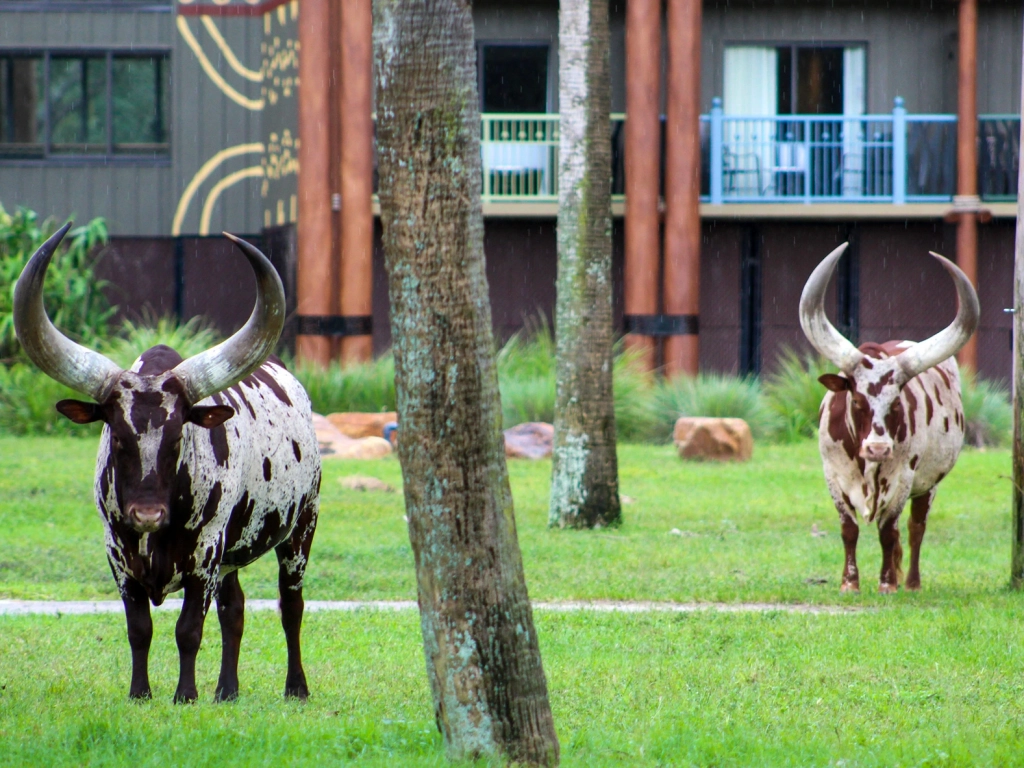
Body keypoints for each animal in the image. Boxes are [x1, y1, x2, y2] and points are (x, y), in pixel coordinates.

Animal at [13, 223, 321, 702]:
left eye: (179, 437)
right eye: (117, 437)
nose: (147, 515)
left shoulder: (205, 555)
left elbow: (188, 629)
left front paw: (185, 696)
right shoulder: (118, 555)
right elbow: (139, 629)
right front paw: (140, 693)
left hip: (301, 528)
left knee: (291, 606)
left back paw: (296, 688)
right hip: (232, 554)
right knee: (234, 609)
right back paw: (227, 691)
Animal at [799, 243, 979, 594]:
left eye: (896, 403)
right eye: (856, 400)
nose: (878, 449)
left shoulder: (902, 480)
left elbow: (888, 532)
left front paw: (886, 584)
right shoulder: (833, 478)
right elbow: (849, 529)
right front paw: (849, 583)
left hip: (929, 484)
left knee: (914, 527)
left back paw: (910, 583)